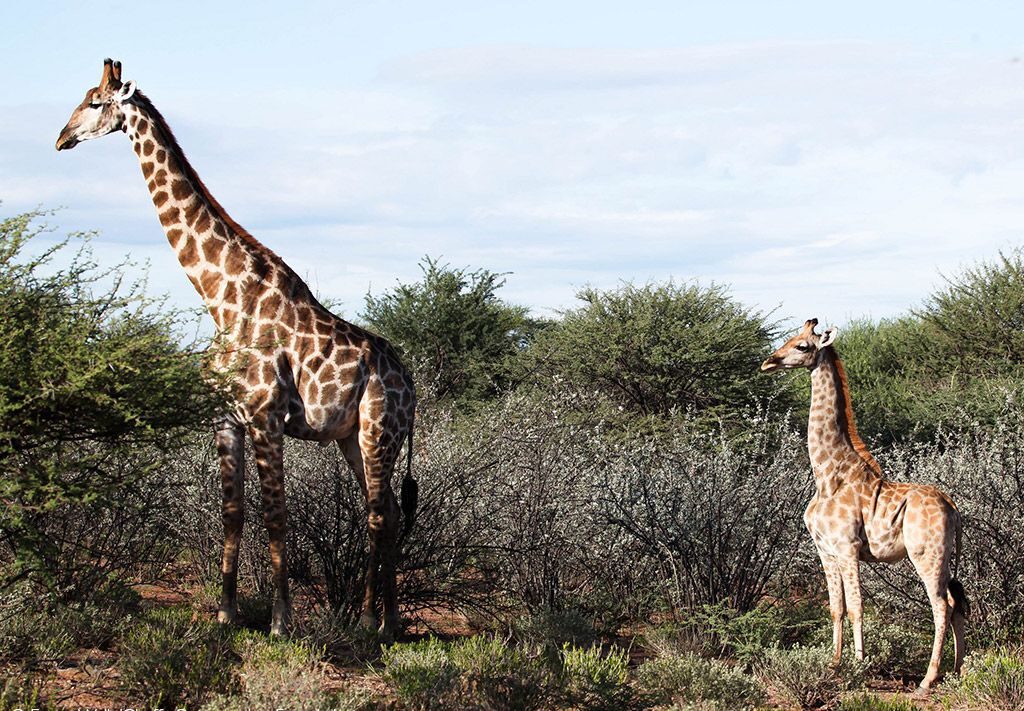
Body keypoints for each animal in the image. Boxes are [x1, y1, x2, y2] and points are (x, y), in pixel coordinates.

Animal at [56, 59, 418, 639]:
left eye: (93, 103)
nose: (61, 138)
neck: (220, 299)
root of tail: (411, 385)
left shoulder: (266, 416)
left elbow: (275, 514)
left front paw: (280, 621)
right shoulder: (225, 418)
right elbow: (233, 512)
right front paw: (225, 613)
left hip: (377, 430)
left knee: (379, 514)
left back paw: (368, 620)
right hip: (351, 437)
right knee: (384, 513)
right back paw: (389, 621)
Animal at [761, 319, 967, 689]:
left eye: (802, 346)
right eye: (790, 338)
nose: (769, 361)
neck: (827, 475)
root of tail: (952, 507)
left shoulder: (847, 547)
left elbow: (857, 606)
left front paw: (858, 666)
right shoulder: (825, 550)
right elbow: (836, 608)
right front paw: (833, 664)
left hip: (926, 555)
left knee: (941, 605)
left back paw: (928, 678)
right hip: (942, 558)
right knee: (957, 602)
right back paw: (956, 671)